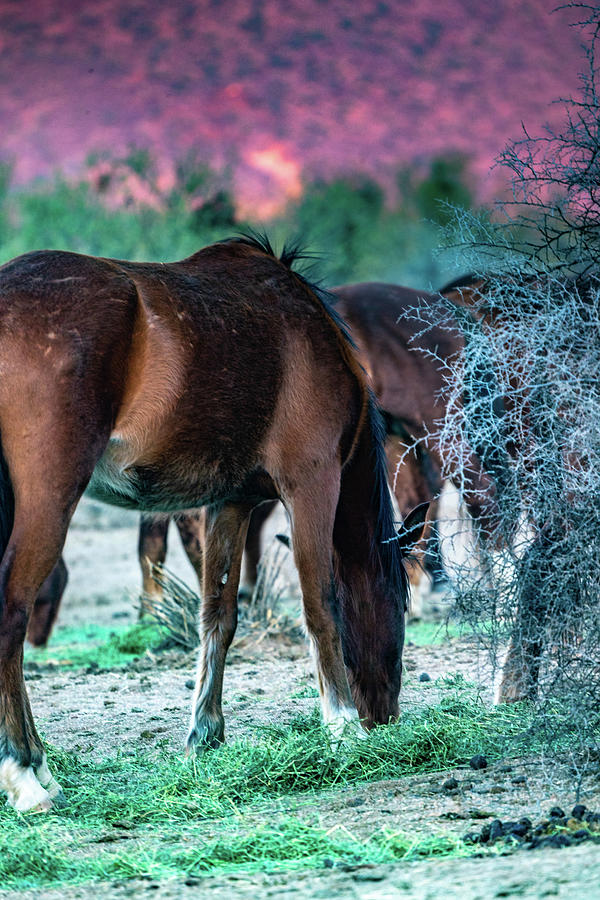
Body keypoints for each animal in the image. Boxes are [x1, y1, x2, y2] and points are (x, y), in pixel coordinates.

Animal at [0, 236, 426, 812]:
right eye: (400, 603)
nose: (384, 716)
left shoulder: (232, 502)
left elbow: (218, 616)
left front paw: (205, 736)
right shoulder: (311, 484)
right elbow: (320, 605)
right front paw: (342, 727)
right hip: (50, 497)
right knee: (12, 612)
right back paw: (26, 771)